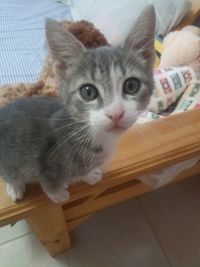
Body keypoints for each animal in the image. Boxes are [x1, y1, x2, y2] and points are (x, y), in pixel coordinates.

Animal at [0, 5, 156, 203]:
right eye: (88, 92)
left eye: (131, 85)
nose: (116, 113)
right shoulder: (47, 164)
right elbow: (49, 184)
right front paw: (59, 195)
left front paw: (89, 175)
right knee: (10, 174)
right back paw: (15, 187)